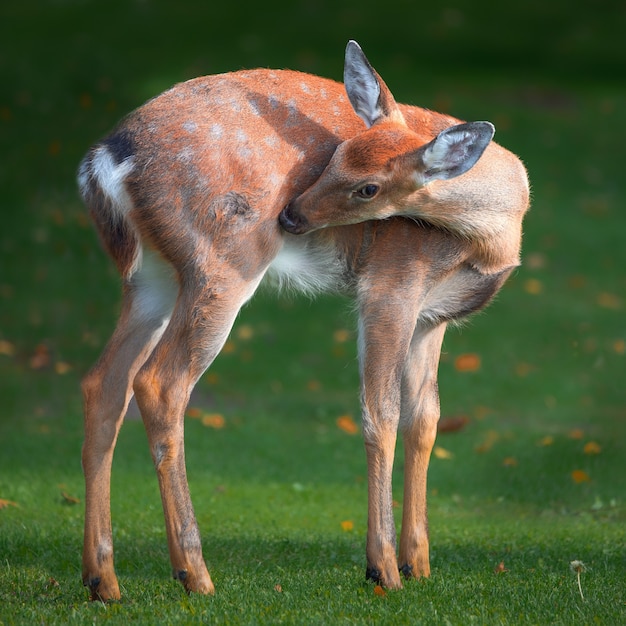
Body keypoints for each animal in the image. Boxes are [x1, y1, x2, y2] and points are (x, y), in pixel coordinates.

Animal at [77, 40, 528, 600]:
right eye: (333, 155)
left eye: (368, 188)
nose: (291, 216)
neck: (493, 236)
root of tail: (106, 160)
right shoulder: (390, 286)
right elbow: (380, 415)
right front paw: (384, 569)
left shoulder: (433, 316)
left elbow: (425, 421)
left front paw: (419, 563)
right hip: (224, 259)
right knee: (161, 382)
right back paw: (195, 574)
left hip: (153, 277)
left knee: (103, 383)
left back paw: (103, 580)